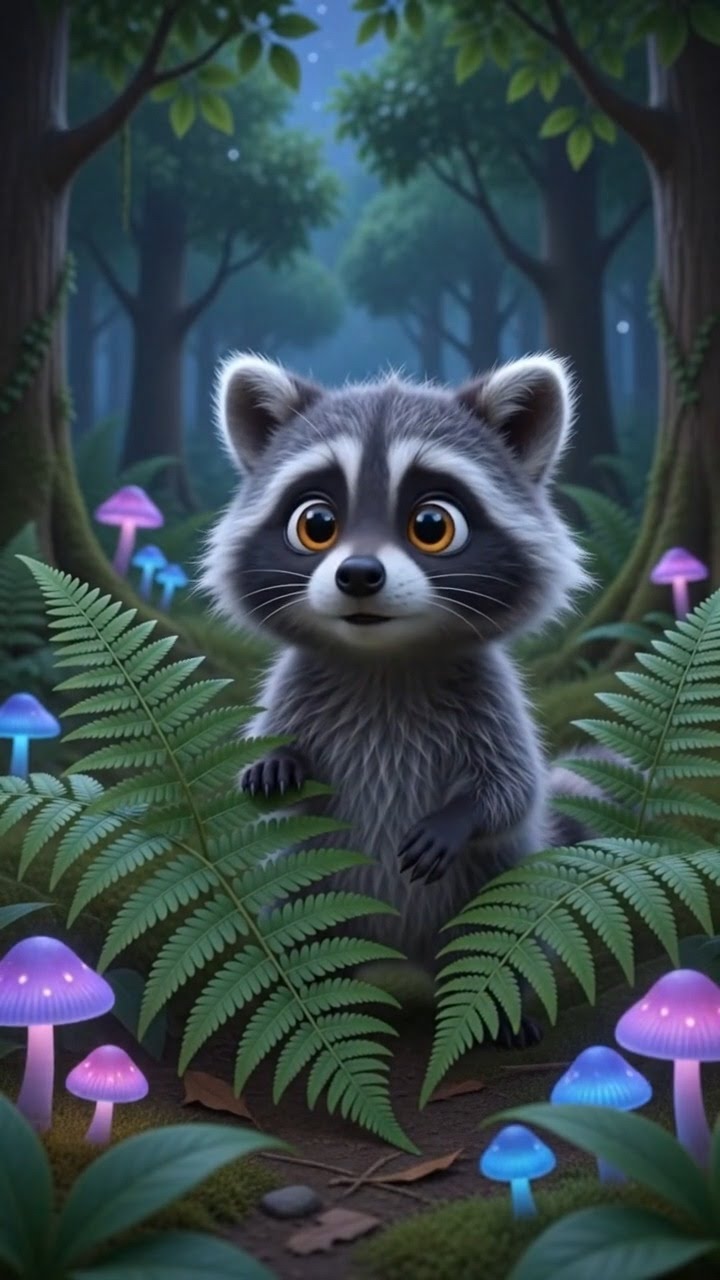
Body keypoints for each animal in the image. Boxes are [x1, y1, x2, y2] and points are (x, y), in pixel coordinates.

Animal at [200, 352, 594, 1044]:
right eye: (317, 524)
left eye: (432, 525)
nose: (359, 575)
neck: (383, 660)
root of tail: (401, 951)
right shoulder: (295, 688)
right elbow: (267, 775)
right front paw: (273, 763)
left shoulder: (488, 697)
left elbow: (514, 788)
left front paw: (461, 815)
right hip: (309, 893)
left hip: (493, 889)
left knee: (498, 937)